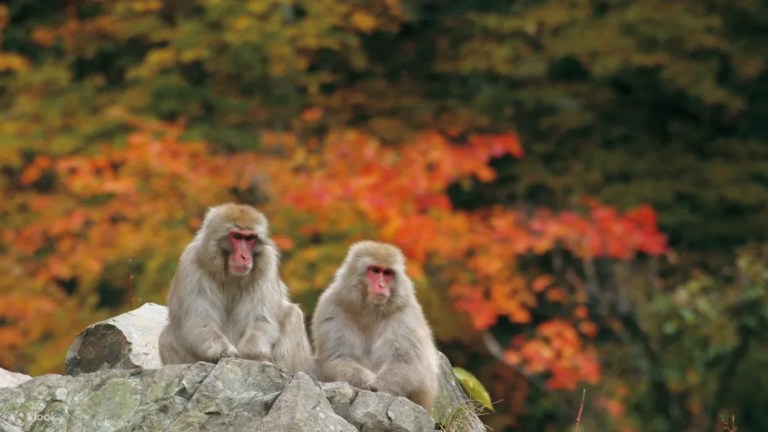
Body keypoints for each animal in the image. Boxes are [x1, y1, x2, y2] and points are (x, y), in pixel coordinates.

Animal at [158, 203, 313, 375]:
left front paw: (251, 353)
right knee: (168, 336)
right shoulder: (190, 262)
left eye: (250, 238)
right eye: (237, 237)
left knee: (293, 314)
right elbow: (200, 319)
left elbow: (261, 318)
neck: (230, 275)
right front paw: (223, 351)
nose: (244, 257)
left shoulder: (267, 264)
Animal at [311, 241, 440, 410]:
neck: (370, 310)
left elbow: (409, 364)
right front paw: (364, 380)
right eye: (375, 270)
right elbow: (335, 358)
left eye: (387, 273)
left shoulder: (407, 314)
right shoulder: (330, 306)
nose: (381, 285)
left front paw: (375, 385)